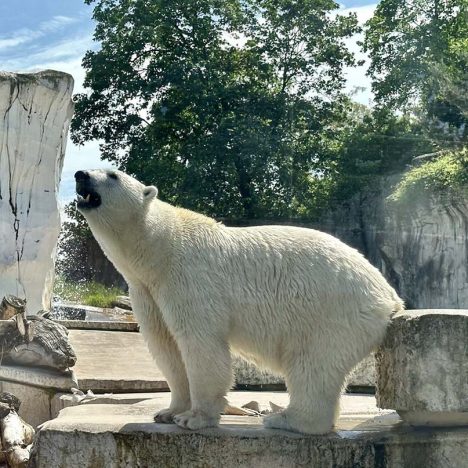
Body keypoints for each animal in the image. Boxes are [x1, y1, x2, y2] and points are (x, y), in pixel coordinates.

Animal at [75, 169, 404, 436]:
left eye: (113, 174)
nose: (81, 174)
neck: (160, 250)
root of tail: (390, 295)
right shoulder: (147, 291)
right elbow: (165, 346)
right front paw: (169, 412)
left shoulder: (190, 278)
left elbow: (200, 343)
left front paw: (194, 418)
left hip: (332, 312)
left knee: (313, 363)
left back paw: (285, 420)